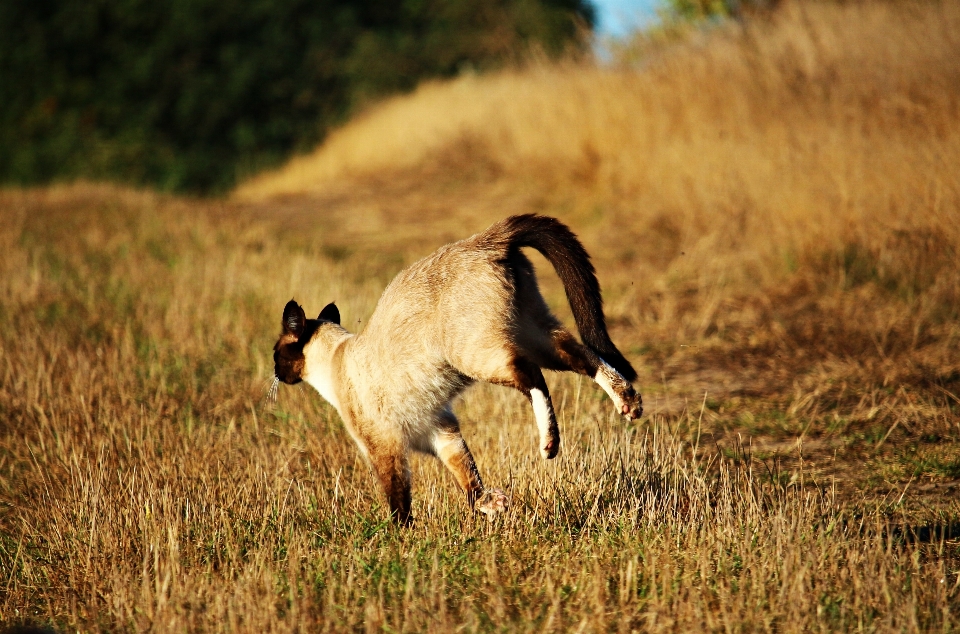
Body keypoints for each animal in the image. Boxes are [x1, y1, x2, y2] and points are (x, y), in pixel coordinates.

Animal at [274, 214, 640, 524]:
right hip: (534, 332)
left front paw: (401, 543)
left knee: (532, 376)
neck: (335, 357)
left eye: (276, 355)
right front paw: (493, 505)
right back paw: (629, 403)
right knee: (587, 358)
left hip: (477, 355)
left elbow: (398, 502)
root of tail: (484, 239)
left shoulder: (384, 446)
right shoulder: (441, 431)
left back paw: (549, 444)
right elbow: (470, 483)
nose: (276, 375)